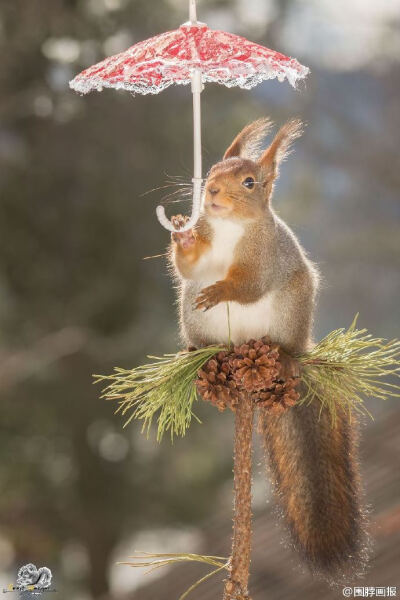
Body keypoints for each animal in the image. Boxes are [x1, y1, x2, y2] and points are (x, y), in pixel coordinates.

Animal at [169, 118, 366, 580]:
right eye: (212, 169)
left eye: (249, 182)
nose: (212, 191)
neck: (230, 228)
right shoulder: (202, 250)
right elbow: (189, 267)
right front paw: (182, 235)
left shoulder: (265, 256)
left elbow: (249, 285)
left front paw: (222, 289)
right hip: (192, 312)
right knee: (197, 311)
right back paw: (197, 352)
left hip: (290, 309)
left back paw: (285, 354)